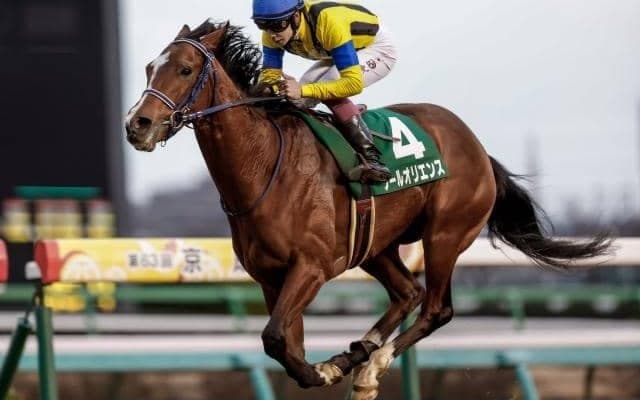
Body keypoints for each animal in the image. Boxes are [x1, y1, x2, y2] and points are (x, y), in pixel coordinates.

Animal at [124, 21, 611, 399]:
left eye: (185, 69)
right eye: (150, 67)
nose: (137, 124)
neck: (265, 168)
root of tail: (475, 145)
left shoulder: (312, 266)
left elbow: (276, 338)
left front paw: (325, 370)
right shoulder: (269, 278)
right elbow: (285, 347)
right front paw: (329, 365)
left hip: (445, 234)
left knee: (436, 308)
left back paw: (371, 367)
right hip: (378, 245)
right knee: (407, 293)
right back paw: (360, 352)